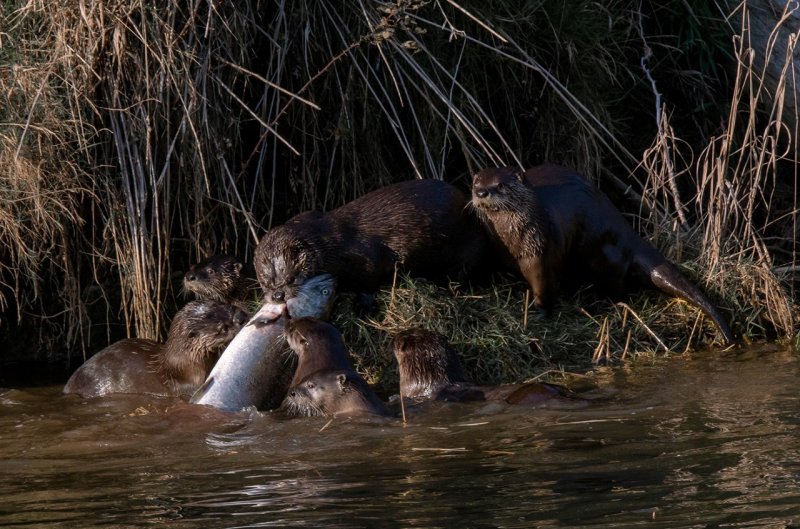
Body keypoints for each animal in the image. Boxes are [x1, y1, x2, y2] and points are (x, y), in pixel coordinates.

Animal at [255, 179, 488, 306]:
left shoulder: (366, 254)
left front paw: (363, 303)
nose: (278, 295)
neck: (330, 245)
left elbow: (370, 276)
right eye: (265, 283)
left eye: (291, 278)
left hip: (469, 245)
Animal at [472, 165, 736, 346]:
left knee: (618, 287)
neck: (511, 239)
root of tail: (625, 230)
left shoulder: (539, 251)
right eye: (476, 183)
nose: (482, 192)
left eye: (501, 185)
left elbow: (543, 286)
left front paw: (539, 313)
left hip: (602, 252)